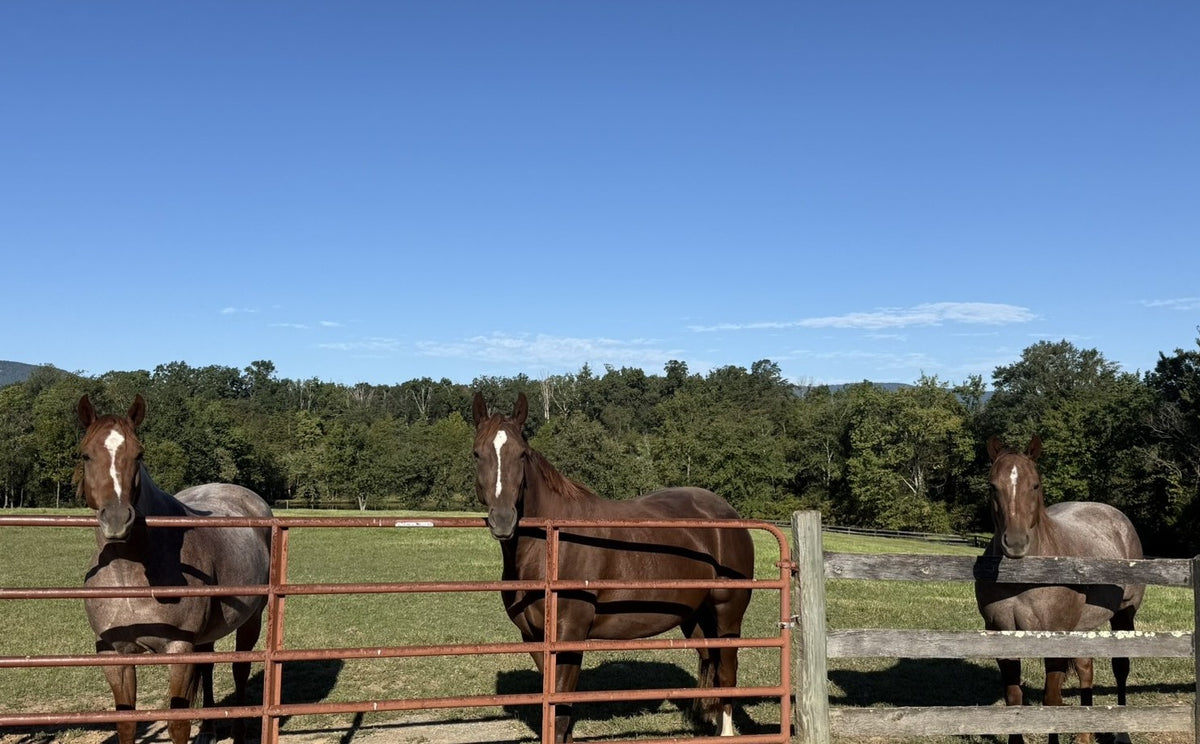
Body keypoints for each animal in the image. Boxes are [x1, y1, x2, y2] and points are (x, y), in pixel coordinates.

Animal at [76, 394, 273, 744]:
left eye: (139, 454)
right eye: (85, 454)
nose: (117, 519)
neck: (130, 578)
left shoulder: (179, 651)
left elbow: (177, 724)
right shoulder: (114, 655)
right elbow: (126, 724)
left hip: (253, 617)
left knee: (240, 669)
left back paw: (237, 732)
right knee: (208, 666)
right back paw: (208, 729)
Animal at [471, 392, 755, 743]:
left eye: (521, 454)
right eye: (477, 454)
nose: (503, 520)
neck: (552, 544)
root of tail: (728, 514)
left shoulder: (569, 636)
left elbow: (560, 709)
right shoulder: (534, 638)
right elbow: (555, 708)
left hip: (727, 612)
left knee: (727, 672)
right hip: (695, 618)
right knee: (710, 663)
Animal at [974, 435, 1144, 744]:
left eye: (1035, 484)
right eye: (992, 486)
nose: (1015, 543)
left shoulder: (1055, 638)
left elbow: (1051, 701)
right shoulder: (1000, 633)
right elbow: (1014, 699)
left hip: (1124, 614)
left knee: (1121, 667)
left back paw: (1122, 733)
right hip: (1083, 626)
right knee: (1086, 668)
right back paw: (1084, 735)